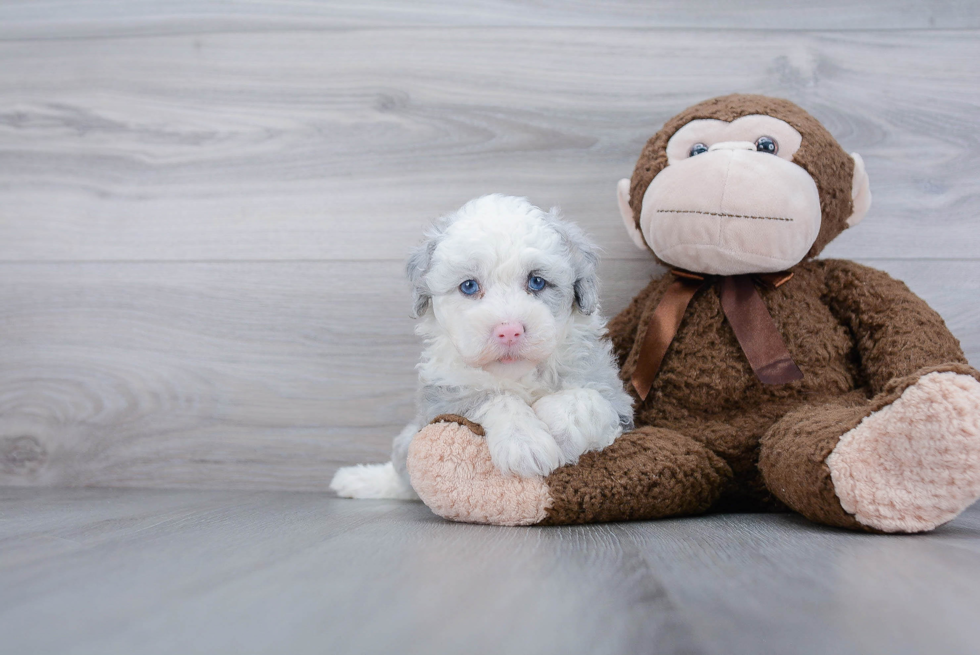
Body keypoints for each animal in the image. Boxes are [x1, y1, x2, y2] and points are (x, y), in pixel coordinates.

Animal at [332, 193, 636, 498]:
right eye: (468, 286)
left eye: (537, 281)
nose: (509, 331)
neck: (518, 375)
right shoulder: (441, 400)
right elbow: (493, 397)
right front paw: (524, 442)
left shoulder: (617, 400)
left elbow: (585, 399)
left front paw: (558, 429)